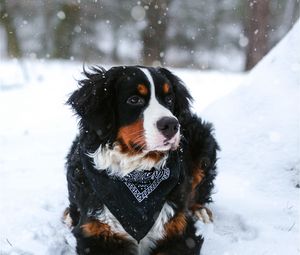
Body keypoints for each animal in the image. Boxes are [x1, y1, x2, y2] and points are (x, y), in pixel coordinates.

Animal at [64, 66, 219, 255]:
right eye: (134, 100)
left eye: (169, 99)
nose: (171, 125)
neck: (137, 172)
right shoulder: (95, 233)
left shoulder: (180, 230)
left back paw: (201, 211)